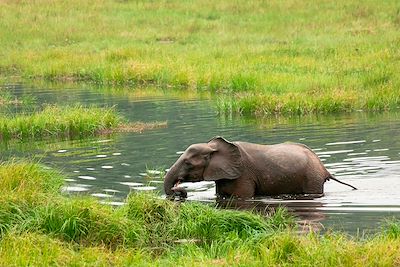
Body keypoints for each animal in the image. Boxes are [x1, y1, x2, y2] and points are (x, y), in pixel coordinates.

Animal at [164, 137, 358, 200]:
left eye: (188, 163)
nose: (180, 191)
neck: (213, 147)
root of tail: (324, 168)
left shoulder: (243, 175)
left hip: (312, 178)